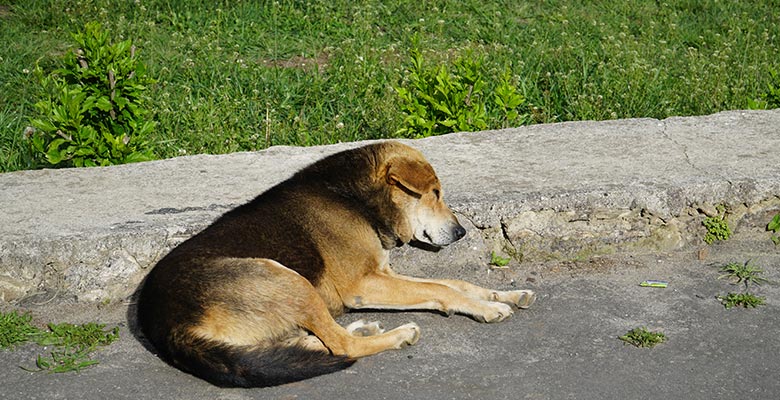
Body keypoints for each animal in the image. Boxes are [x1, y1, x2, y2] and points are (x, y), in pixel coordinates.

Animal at [136, 141, 536, 388]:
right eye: (434, 193)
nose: (462, 232)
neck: (354, 198)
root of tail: (166, 326)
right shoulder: (363, 284)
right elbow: (442, 288)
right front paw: (486, 308)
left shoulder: (383, 273)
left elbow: (455, 283)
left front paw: (503, 294)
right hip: (287, 278)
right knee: (342, 347)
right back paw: (396, 335)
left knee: (314, 341)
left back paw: (363, 327)